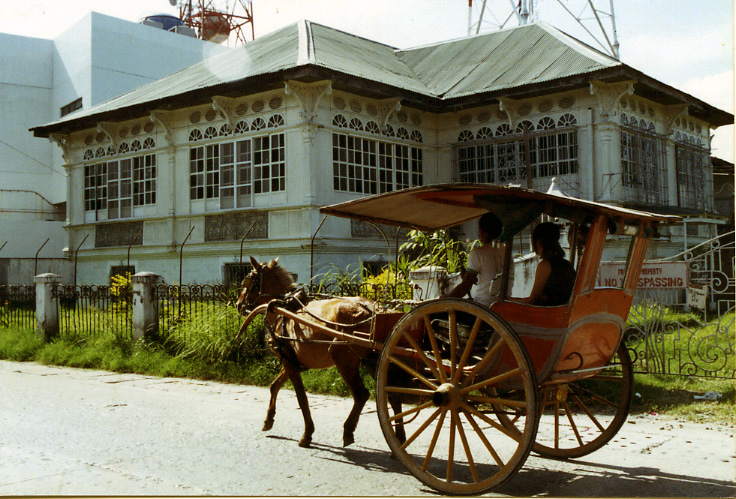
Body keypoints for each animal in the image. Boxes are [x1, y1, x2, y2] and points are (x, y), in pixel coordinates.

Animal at [237, 258, 406, 450]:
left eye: (248, 281)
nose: (238, 304)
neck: (285, 308)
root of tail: (371, 309)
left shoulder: (289, 362)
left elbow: (301, 398)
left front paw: (307, 433)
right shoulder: (290, 361)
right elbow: (274, 386)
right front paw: (268, 420)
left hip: (344, 360)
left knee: (361, 394)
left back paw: (349, 431)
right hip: (374, 361)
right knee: (392, 395)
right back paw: (399, 440)